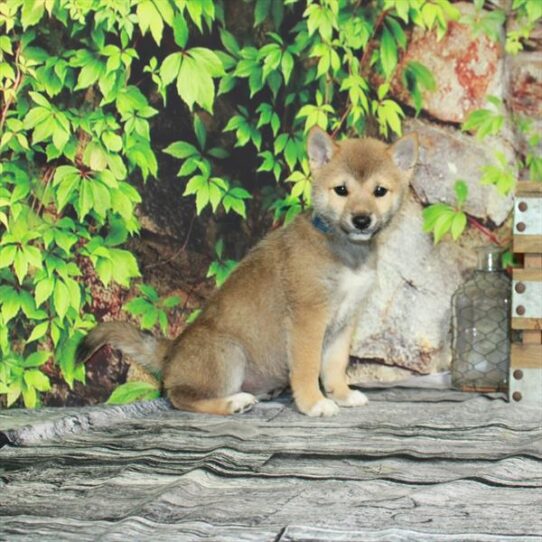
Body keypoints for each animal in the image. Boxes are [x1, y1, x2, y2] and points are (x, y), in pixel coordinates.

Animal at [78, 130, 418, 418]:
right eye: (342, 190)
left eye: (379, 191)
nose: (361, 220)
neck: (345, 250)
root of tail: (171, 351)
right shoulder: (308, 319)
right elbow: (308, 368)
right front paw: (313, 403)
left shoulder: (345, 323)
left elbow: (334, 367)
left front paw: (342, 395)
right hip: (229, 354)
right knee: (179, 397)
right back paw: (233, 402)